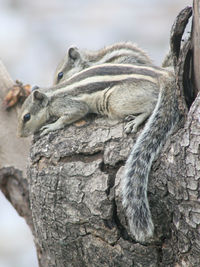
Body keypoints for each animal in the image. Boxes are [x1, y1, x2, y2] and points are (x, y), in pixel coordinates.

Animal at [17, 62, 180, 243]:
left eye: (27, 117)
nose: (20, 135)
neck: (52, 96)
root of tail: (163, 75)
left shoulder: (71, 105)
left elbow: (73, 114)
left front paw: (51, 126)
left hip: (117, 101)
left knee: (151, 105)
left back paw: (137, 120)